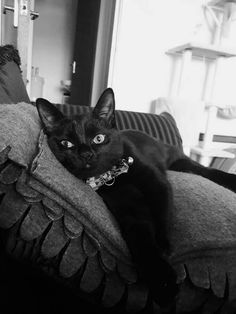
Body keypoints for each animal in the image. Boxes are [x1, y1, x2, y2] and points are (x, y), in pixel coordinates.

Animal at [36, 87, 236, 306]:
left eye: (98, 138)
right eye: (66, 143)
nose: (86, 154)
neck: (114, 177)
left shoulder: (156, 183)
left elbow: (161, 212)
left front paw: (164, 247)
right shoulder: (128, 205)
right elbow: (140, 236)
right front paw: (162, 282)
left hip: (182, 163)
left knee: (207, 171)